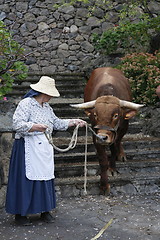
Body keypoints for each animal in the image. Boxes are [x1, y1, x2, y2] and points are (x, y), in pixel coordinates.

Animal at [70, 66, 143, 194]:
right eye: (95, 115)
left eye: (115, 115)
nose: (103, 137)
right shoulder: (95, 134)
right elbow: (103, 160)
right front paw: (104, 186)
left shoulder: (121, 129)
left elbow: (114, 147)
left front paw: (112, 168)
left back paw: (121, 154)